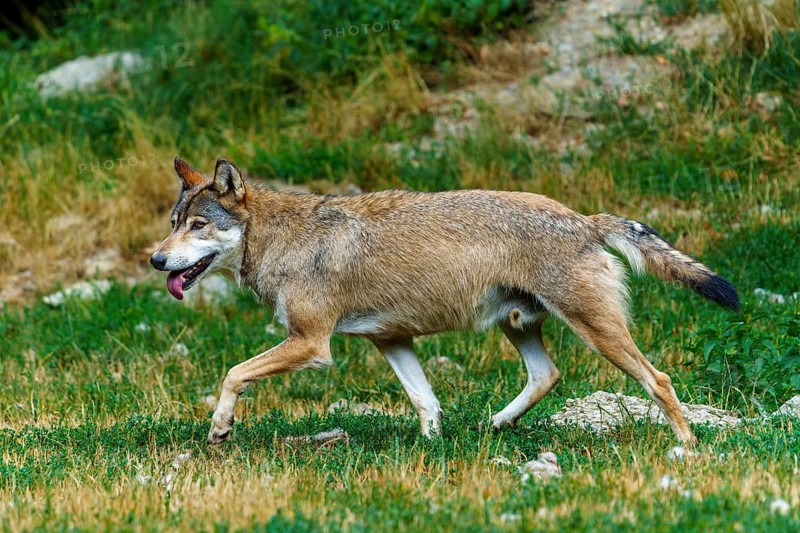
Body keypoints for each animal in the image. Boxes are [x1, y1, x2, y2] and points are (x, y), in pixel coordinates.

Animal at [150, 158, 739, 446]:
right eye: (174, 223)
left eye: (199, 226)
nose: (157, 260)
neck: (280, 239)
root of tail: (584, 219)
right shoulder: (391, 340)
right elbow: (426, 403)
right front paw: (432, 451)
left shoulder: (312, 345)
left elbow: (232, 373)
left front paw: (220, 428)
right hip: (518, 325)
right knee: (547, 376)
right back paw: (498, 425)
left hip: (597, 334)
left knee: (658, 379)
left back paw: (689, 445)